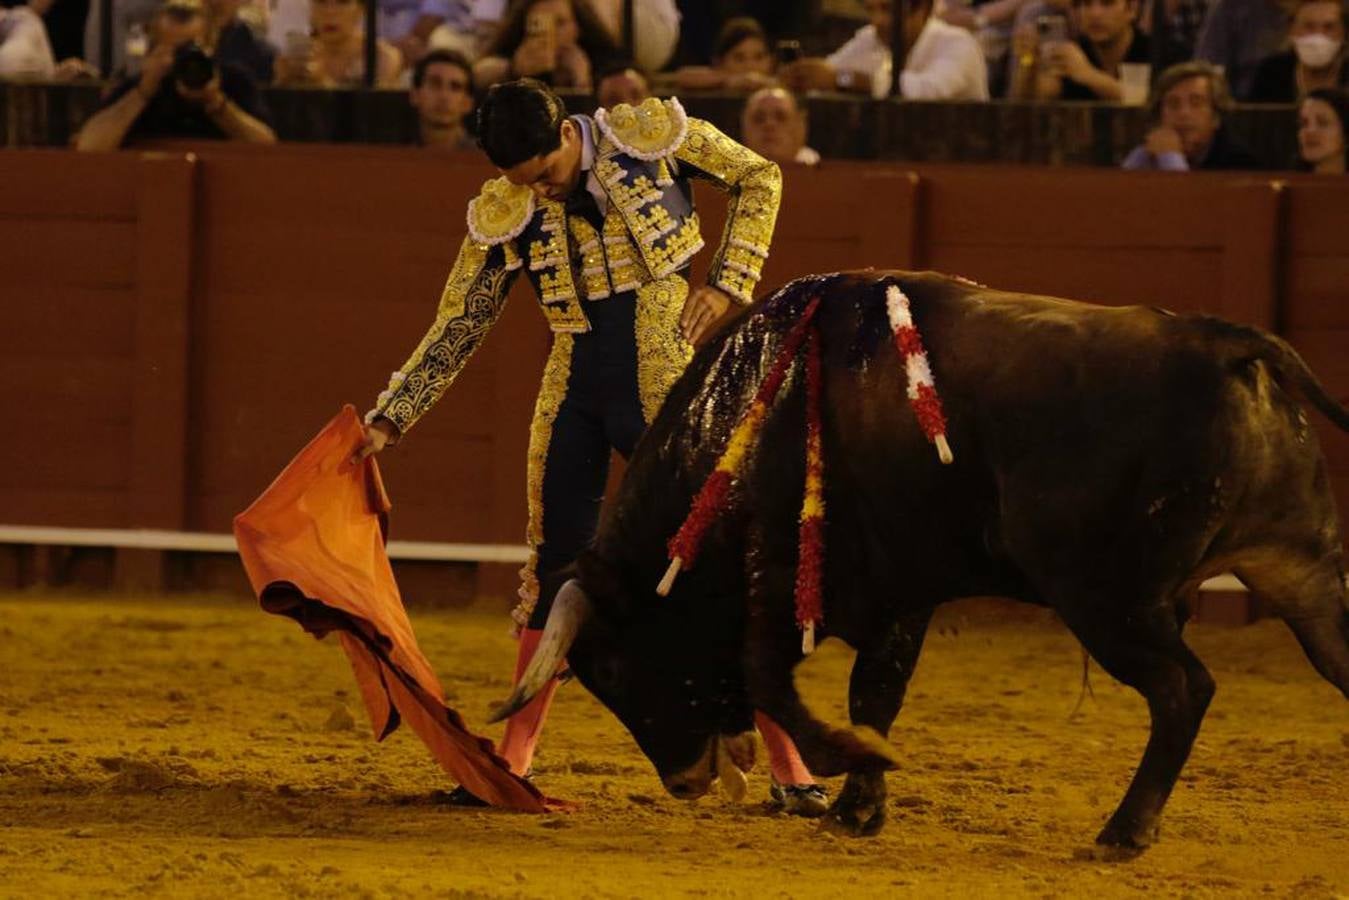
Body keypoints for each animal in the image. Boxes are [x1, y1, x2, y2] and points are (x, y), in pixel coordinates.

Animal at [491, 271, 1343, 858]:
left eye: (613, 670)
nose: (682, 782)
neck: (746, 414)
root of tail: (1226, 342)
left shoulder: (780, 580)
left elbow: (781, 685)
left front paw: (851, 764)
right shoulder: (903, 593)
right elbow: (876, 690)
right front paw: (855, 810)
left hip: (1108, 599)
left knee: (1180, 689)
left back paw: (1123, 832)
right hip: (1300, 573)